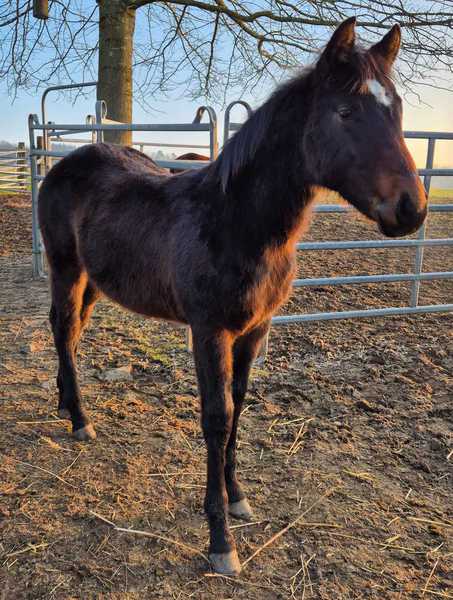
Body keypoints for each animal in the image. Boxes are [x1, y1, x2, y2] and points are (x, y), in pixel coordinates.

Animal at [38, 18, 427, 575]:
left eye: (395, 110)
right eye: (345, 112)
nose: (411, 209)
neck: (236, 222)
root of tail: (67, 160)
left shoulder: (254, 330)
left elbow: (239, 404)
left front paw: (238, 497)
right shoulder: (209, 331)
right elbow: (216, 417)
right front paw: (220, 540)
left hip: (93, 278)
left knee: (68, 330)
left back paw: (67, 404)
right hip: (65, 265)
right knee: (64, 326)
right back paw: (81, 420)